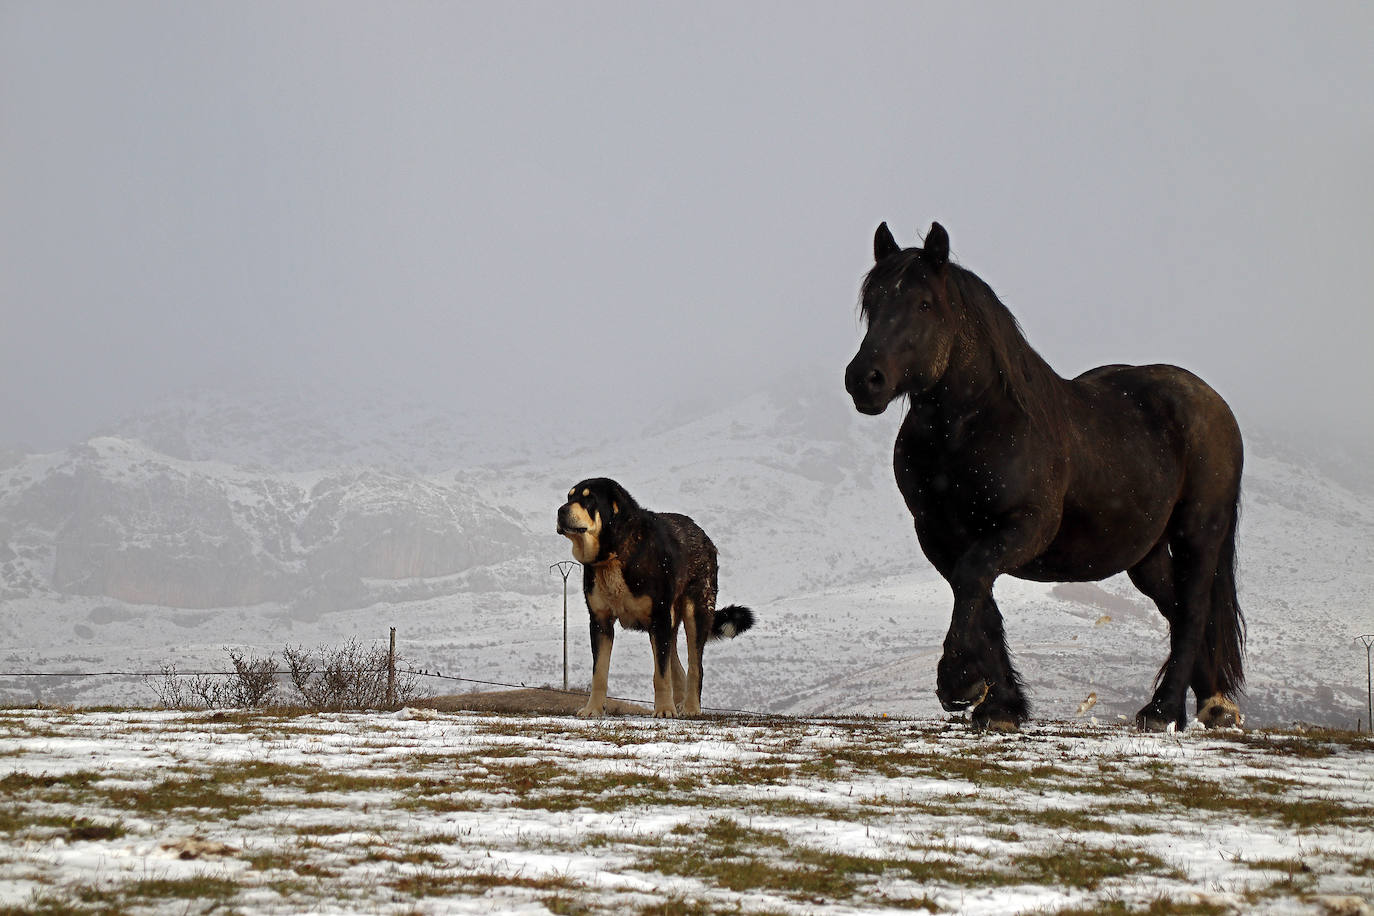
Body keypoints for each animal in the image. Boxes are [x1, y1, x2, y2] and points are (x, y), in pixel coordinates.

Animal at [835, 219, 1247, 730]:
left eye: (924, 303)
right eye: (872, 303)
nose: (863, 379)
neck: (975, 425)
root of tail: (1211, 402)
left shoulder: (1025, 526)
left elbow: (973, 581)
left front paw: (960, 683)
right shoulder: (939, 535)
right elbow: (980, 601)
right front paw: (1000, 705)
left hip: (1199, 530)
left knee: (1192, 611)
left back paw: (1164, 710)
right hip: (1146, 553)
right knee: (1177, 608)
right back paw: (1214, 702)